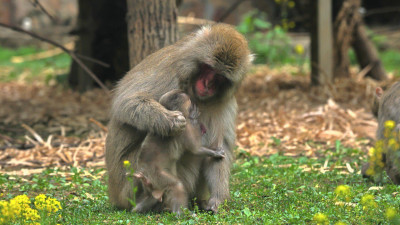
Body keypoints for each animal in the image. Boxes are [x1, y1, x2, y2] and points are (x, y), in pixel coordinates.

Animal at [104, 23, 252, 212]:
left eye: (219, 76)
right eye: (208, 68)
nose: (208, 84)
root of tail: (115, 194)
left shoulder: (224, 103)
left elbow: (219, 148)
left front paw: (218, 199)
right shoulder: (169, 71)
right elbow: (127, 101)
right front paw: (169, 121)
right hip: (129, 182)